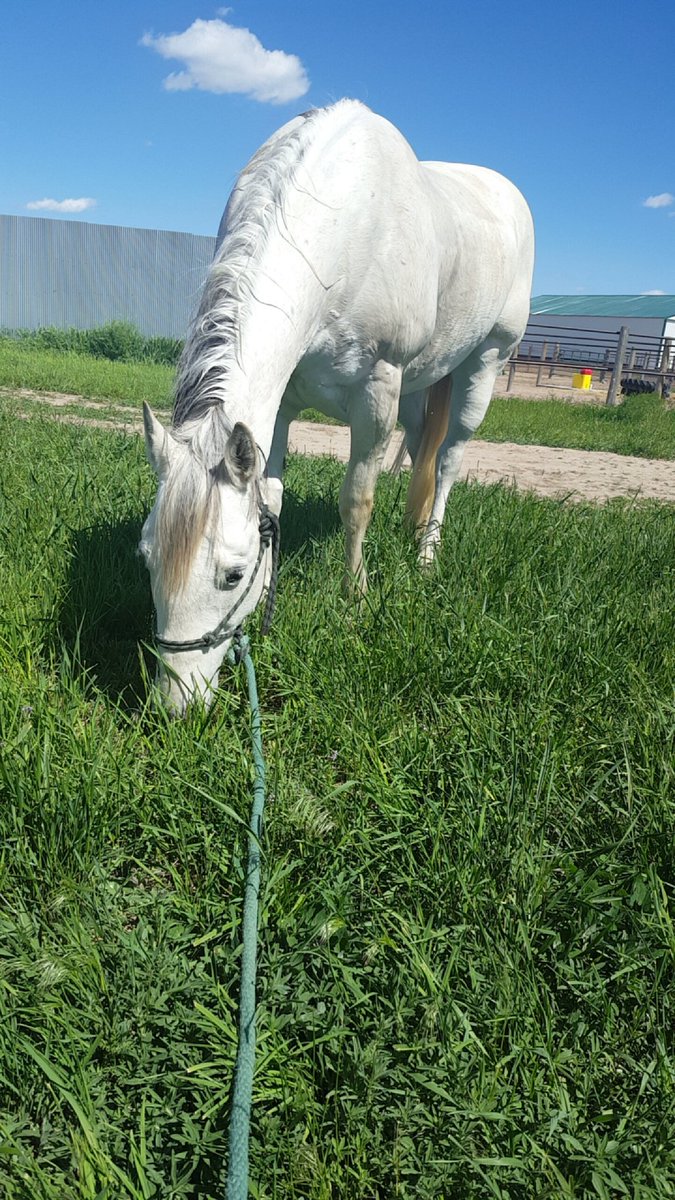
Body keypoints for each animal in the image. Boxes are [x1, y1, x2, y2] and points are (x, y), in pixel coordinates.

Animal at [140, 99, 534, 712]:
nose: (175, 704)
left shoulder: (379, 389)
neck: (343, 230)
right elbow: (274, 498)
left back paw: (427, 555)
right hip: (421, 388)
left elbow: (357, 499)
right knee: (422, 447)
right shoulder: (278, 407)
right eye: (147, 558)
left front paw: (355, 595)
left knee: (449, 458)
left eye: (232, 576)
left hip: (485, 362)